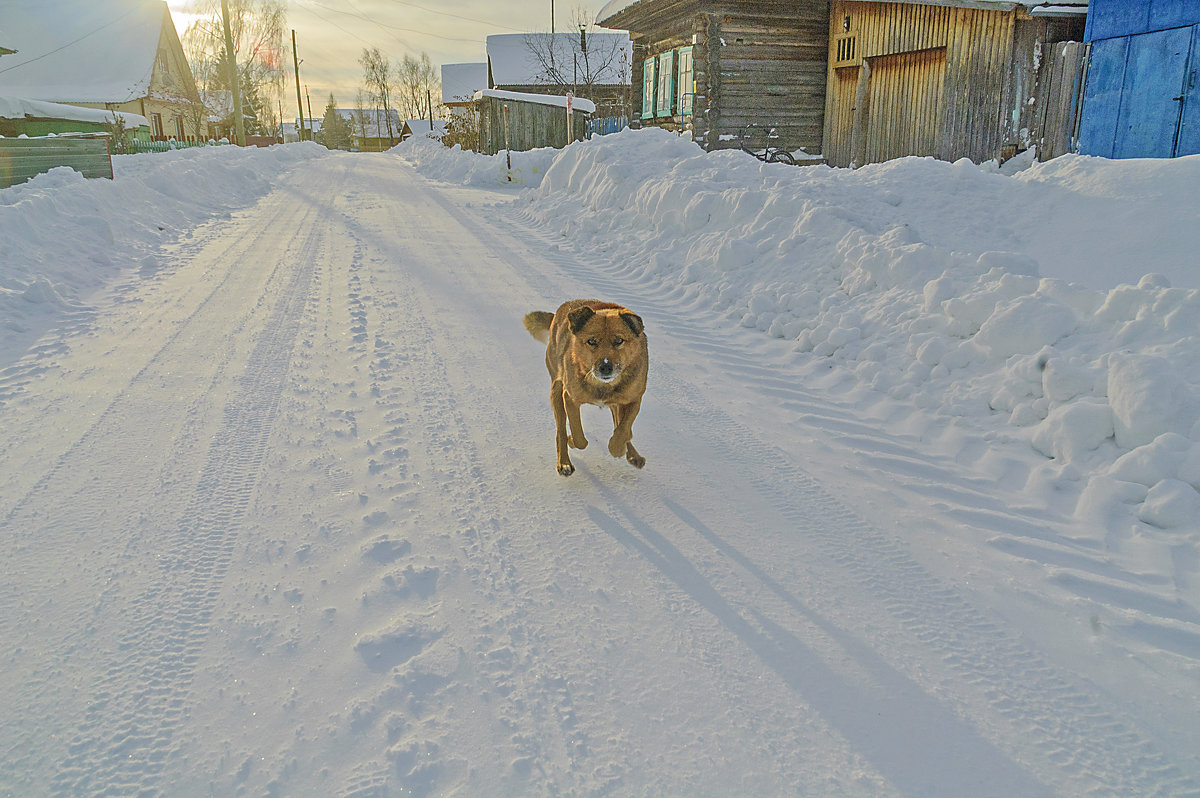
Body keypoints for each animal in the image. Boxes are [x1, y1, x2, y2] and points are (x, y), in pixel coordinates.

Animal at [525, 297, 652, 472]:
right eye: (591, 341)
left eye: (619, 340)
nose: (605, 367)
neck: (603, 386)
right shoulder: (569, 398)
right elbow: (578, 436)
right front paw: (572, 440)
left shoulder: (634, 399)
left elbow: (623, 429)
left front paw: (619, 447)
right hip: (556, 388)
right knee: (560, 431)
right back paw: (564, 462)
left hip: (617, 402)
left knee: (619, 423)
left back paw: (633, 454)